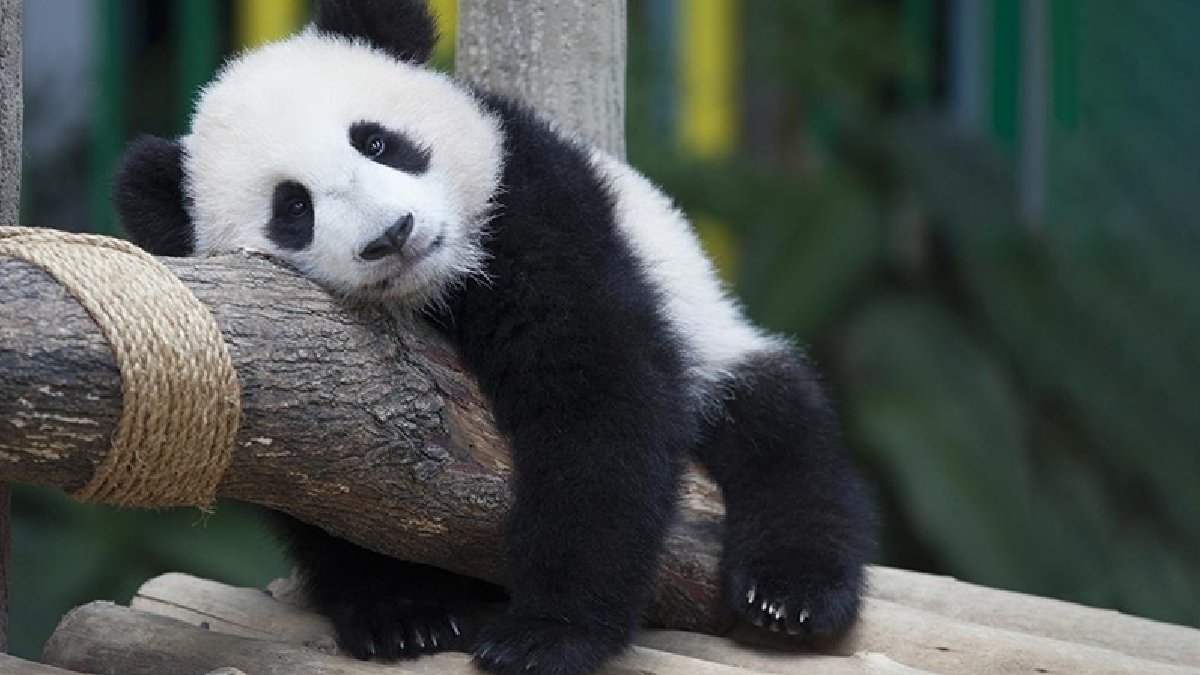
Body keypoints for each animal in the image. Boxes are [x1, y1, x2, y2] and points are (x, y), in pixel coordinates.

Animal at [113, 1, 875, 673]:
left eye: (377, 141)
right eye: (293, 208)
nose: (393, 234)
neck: (438, 290)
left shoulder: (534, 207)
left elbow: (595, 396)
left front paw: (549, 633)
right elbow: (316, 482)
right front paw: (403, 612)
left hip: (711, 328)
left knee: (777, 428)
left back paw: (790, 591)